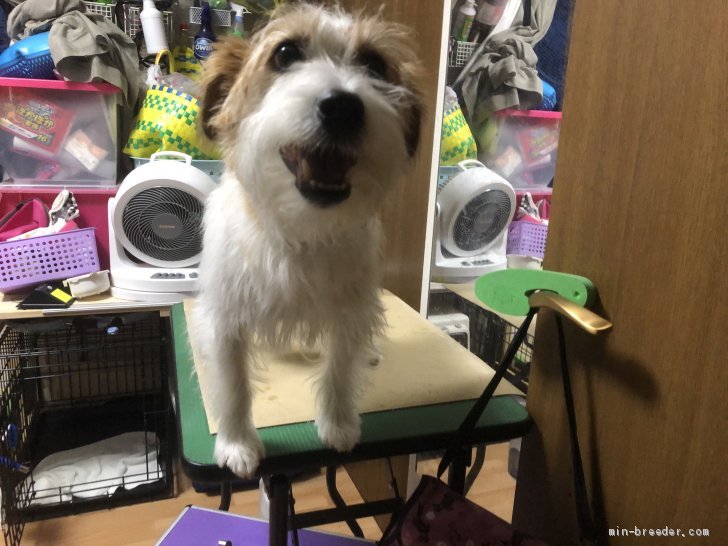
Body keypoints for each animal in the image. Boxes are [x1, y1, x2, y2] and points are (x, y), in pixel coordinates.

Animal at [191, 2, 424, 478]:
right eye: (285, 53)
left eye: (375, 64)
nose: (343, 107)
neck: (302, 228)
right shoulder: (225, 318)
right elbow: (234, 383)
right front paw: (237, 443)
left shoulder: (351, 311)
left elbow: (340, 368)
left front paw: (338, 425)